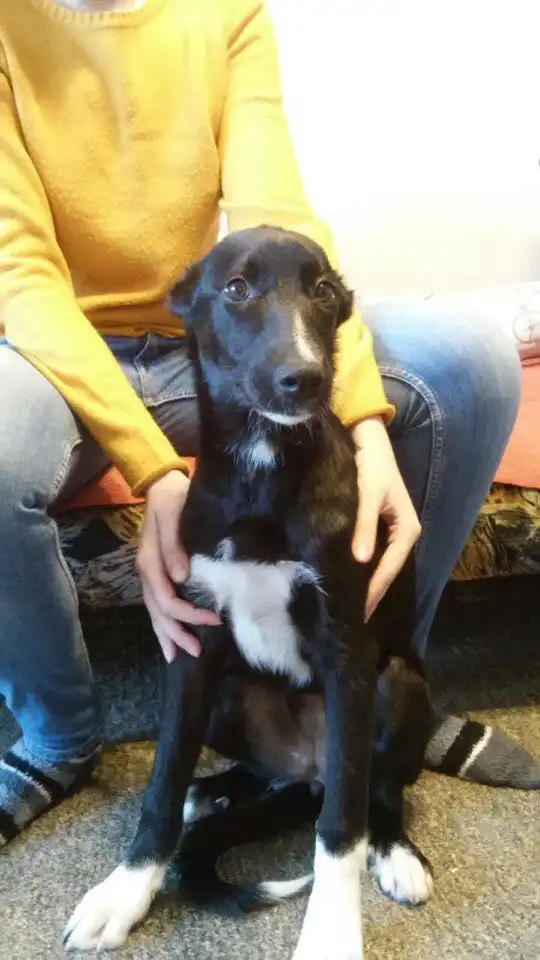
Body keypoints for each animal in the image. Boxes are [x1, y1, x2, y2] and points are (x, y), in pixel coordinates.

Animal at [64, 226, 435, 958]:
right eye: (236, 288)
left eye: (323, 292)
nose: (306, 379)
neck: (264, 460)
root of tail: (302, 771)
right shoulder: (195, 644)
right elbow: (163, 776)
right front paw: (128, 889)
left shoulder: (347, 650)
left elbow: (341, 826)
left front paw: (331, 932)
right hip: (232, 695)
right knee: (257, 774)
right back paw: (211, 793)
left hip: (398, 683)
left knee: (374, 788)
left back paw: (396, 851)